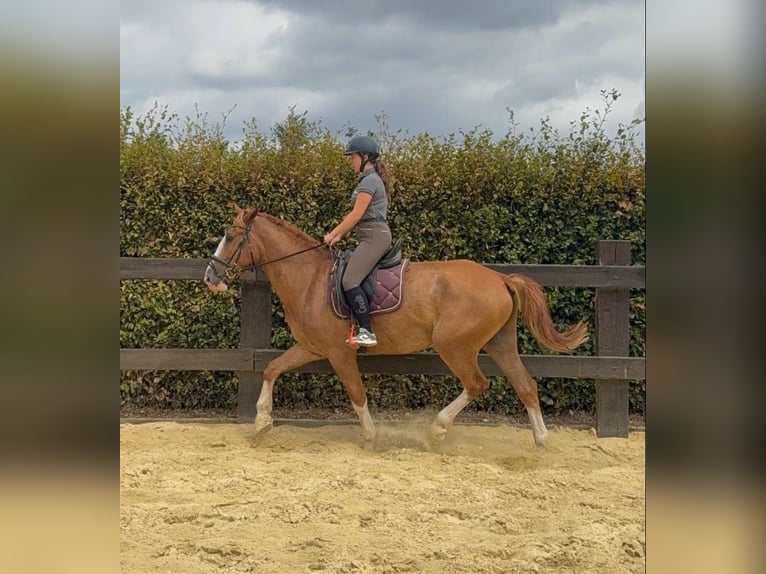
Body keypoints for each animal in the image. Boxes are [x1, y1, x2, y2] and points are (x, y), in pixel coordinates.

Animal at [204, 205, 588, 448]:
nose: (210, 276)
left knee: (478, 384)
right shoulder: (311, 348)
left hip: (456, 347)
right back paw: (541, 440)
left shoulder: (339, 354)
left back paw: (438, 429)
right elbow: (271, 368)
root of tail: (500, 278)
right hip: (500, 344)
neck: (310, 279)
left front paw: (372, 437)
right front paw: (262, 422)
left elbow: (357, 394)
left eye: (230, 237)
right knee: (526, 386)